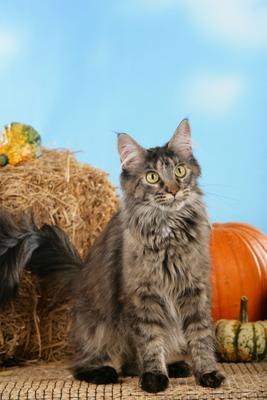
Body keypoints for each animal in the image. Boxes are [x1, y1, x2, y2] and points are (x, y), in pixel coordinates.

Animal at [0, 119, 226, 394]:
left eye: (180, 171)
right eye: (152, 177)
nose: (173, 190)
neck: (167, 232)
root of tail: (81, 273)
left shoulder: (195, 290)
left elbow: (200, 337)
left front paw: (207, 373)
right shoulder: (143, 296)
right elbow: (151, 341)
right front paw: (154, 378)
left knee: (130, 364)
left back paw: (175, 367)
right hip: (101, 331)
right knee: (86, 365)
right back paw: (105, 373)